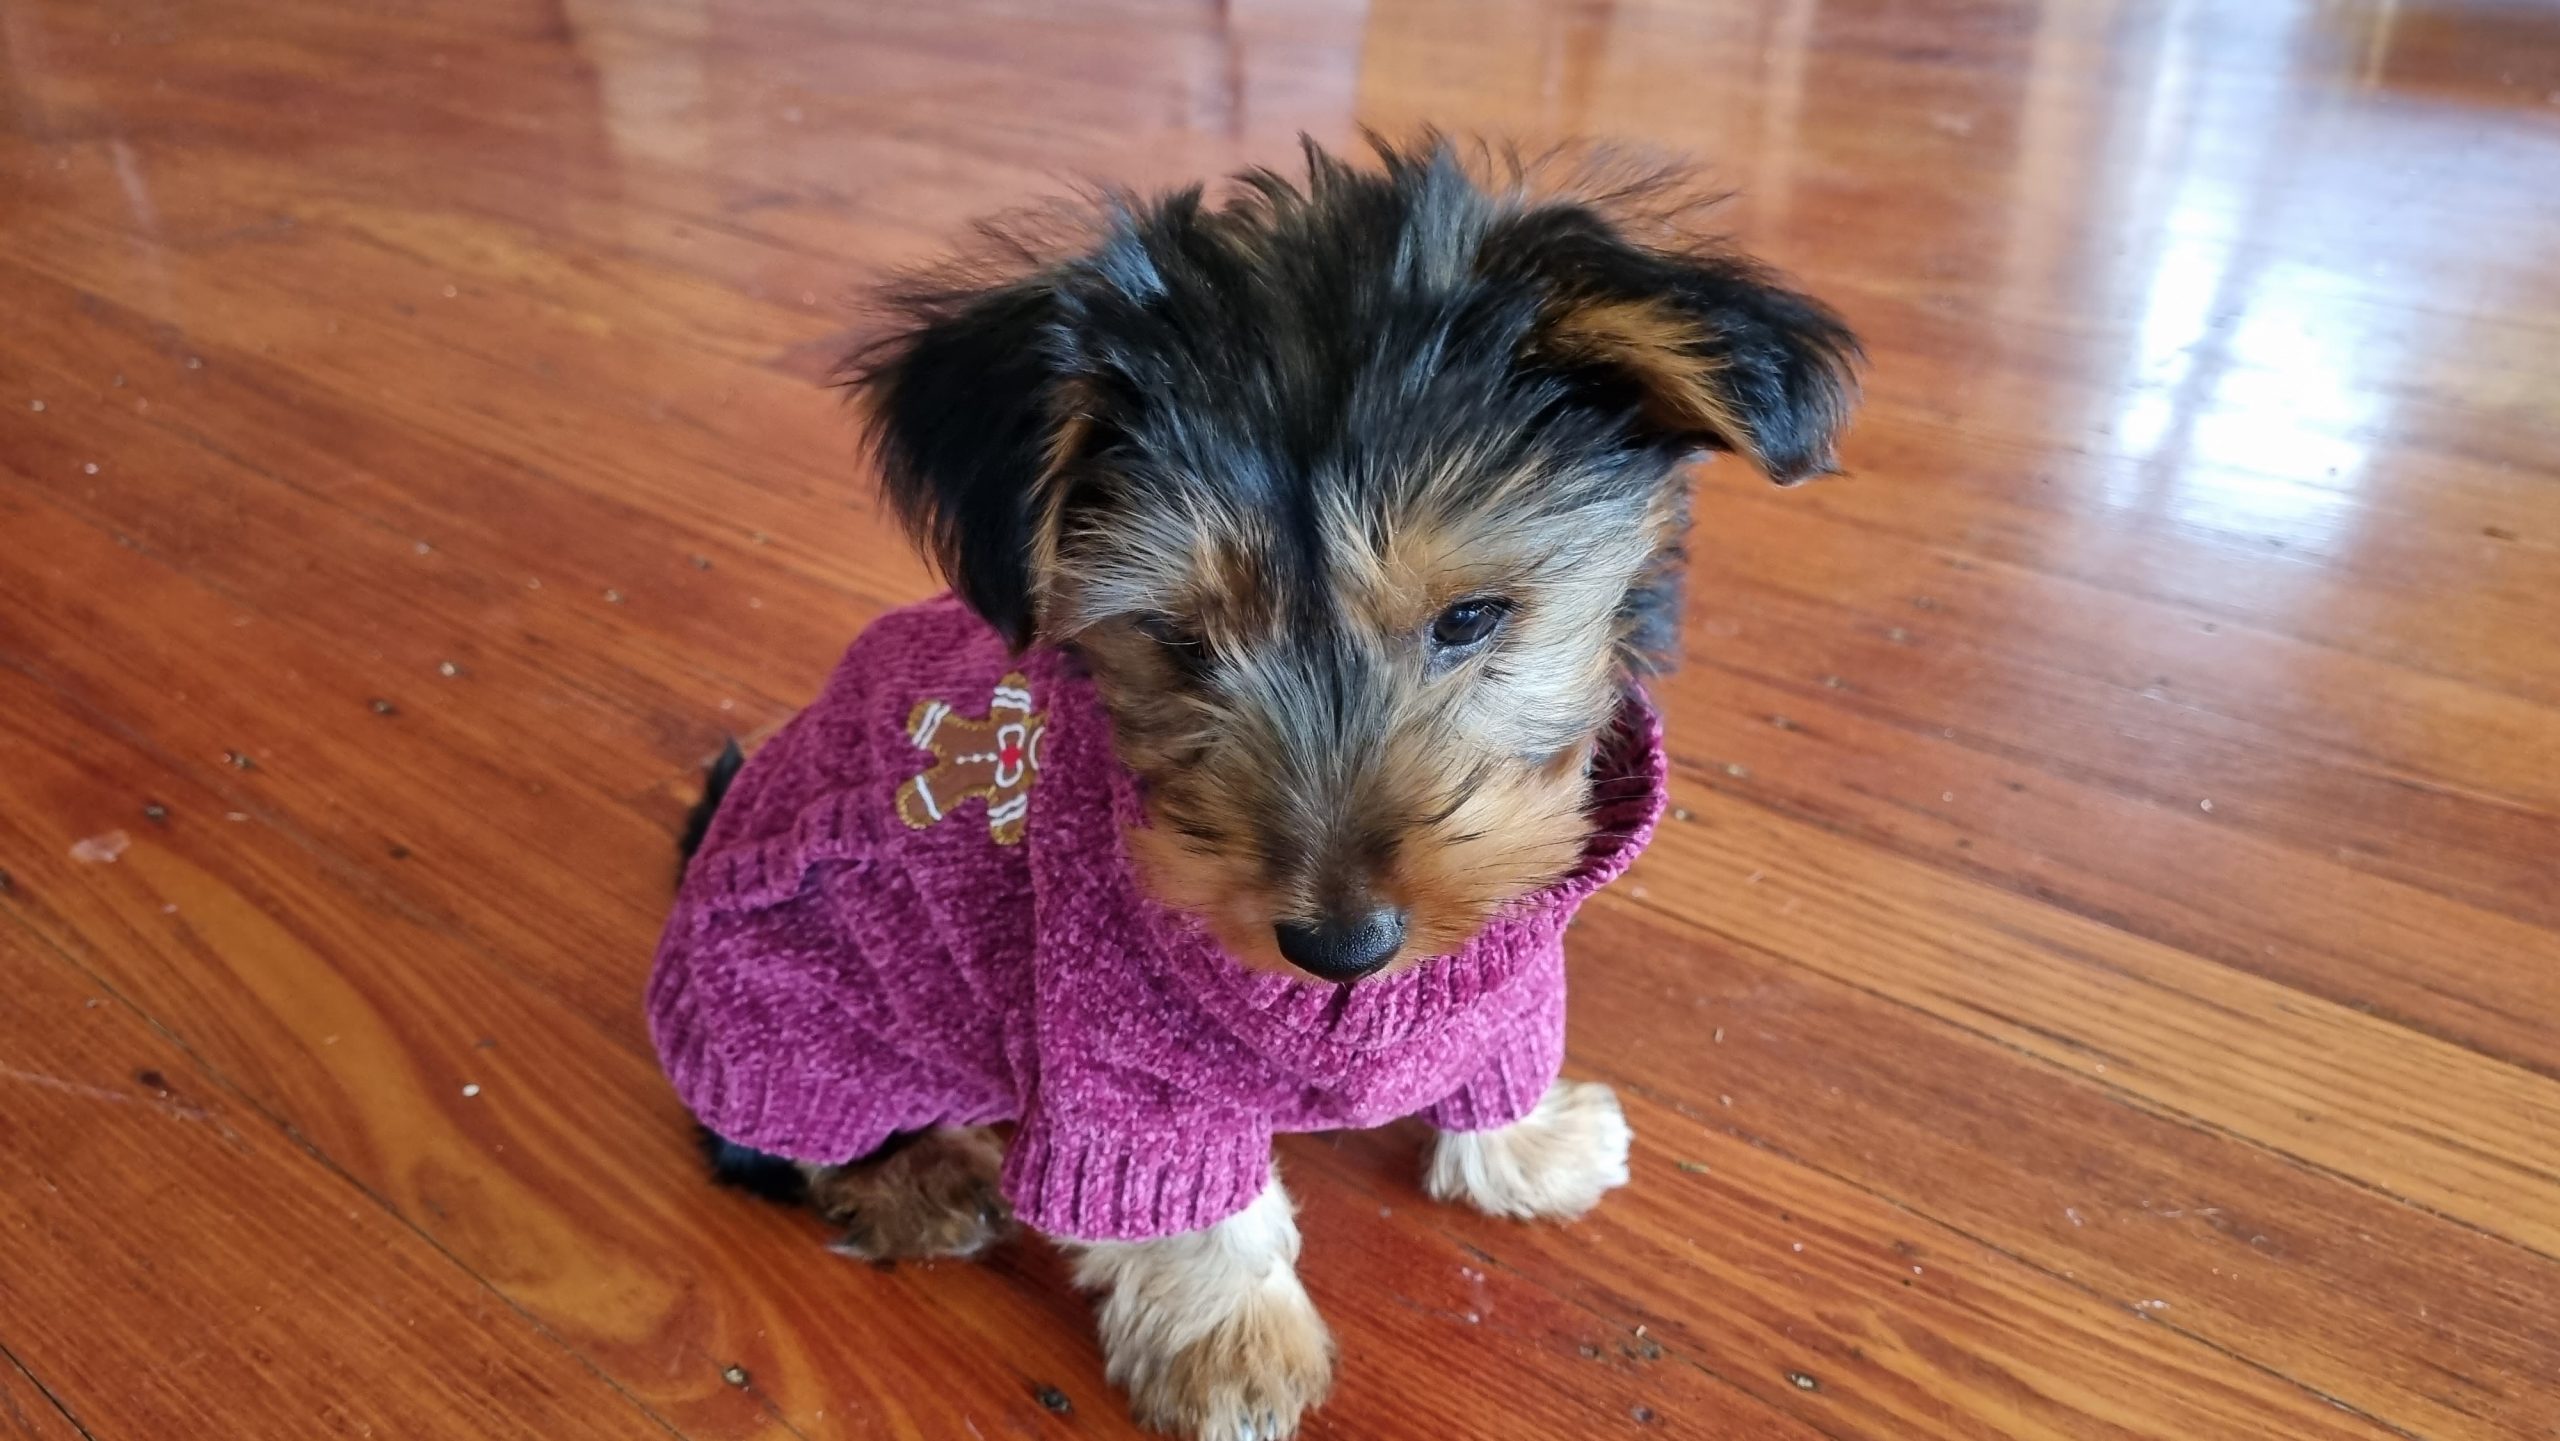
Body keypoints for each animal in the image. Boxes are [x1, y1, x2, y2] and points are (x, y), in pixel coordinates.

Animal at [650, 135, 1863, 1441]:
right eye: (1180, 643)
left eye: (1472, 618)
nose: (1340, 944)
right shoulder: (1122, 1057)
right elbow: (1184, 1205)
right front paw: (1228, 1349)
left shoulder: (1507, 962)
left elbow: (1500, 1045)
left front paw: (1528, 1145)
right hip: (801, 1002)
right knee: (763, 1134)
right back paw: (919, 1177)